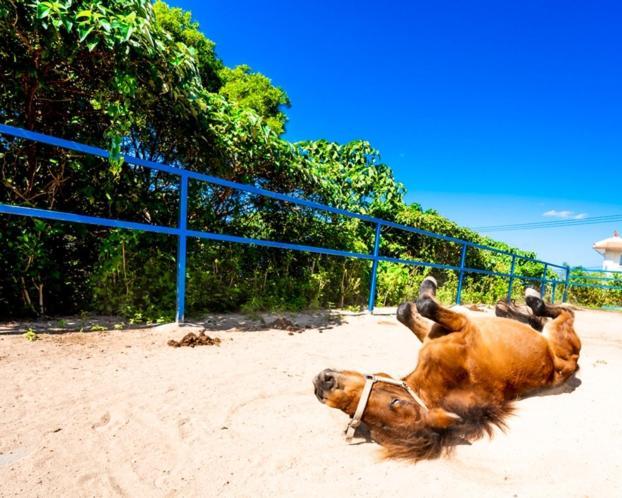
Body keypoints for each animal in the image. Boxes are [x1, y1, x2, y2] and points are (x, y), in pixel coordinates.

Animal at [314, 276, 584, 460]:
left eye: (395, 402)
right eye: (352, 415)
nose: (322, 385)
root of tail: (574, 362)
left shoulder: (456, 327)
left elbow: (419, 307)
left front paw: (429, 282)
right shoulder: (438, 333)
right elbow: (411, 310)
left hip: (562, 329)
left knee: (562, 312)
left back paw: (528, 299)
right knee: (546, 317)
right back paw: (515, 307)